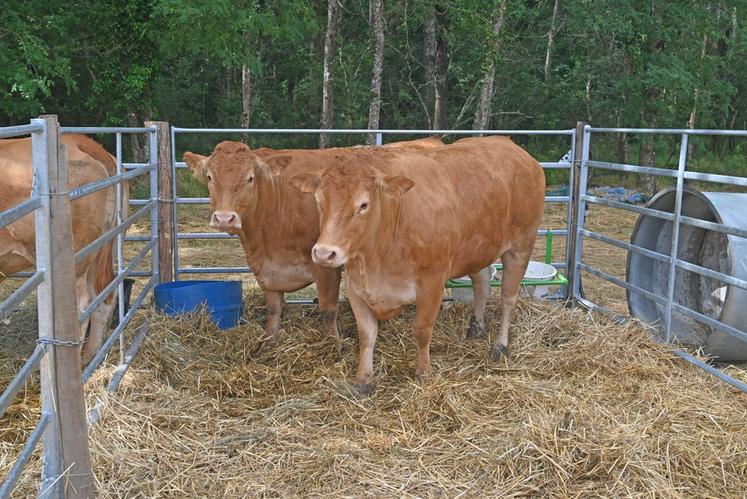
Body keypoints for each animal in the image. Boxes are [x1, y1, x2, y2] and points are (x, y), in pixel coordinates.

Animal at [0, 135, 126, 366]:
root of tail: (81, 141)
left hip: (76, 258)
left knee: (81, 304)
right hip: (104, 249)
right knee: (105, 294)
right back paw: (89, 357)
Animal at [184, 136, 444, 352]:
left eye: (250, 178)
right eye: (210, 177)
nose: (224, 218)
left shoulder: (325, 263)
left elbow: (328, 309)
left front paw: (334, 344)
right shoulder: (268, 271)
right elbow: (273, 308)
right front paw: (268, 343)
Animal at [290, 136, 544, 394]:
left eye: (363, 205)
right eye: (319, 201)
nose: (324, 253)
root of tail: (510, 144)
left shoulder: (432, 282)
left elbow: (422, 330)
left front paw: (423, 373)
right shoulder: (355, 285)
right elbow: (367, 334)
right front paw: (363, 380)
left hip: (522, 244)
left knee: (508, 297)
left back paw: (500, 346)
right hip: (478, 248)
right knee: (482, 284)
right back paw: (475, 329)